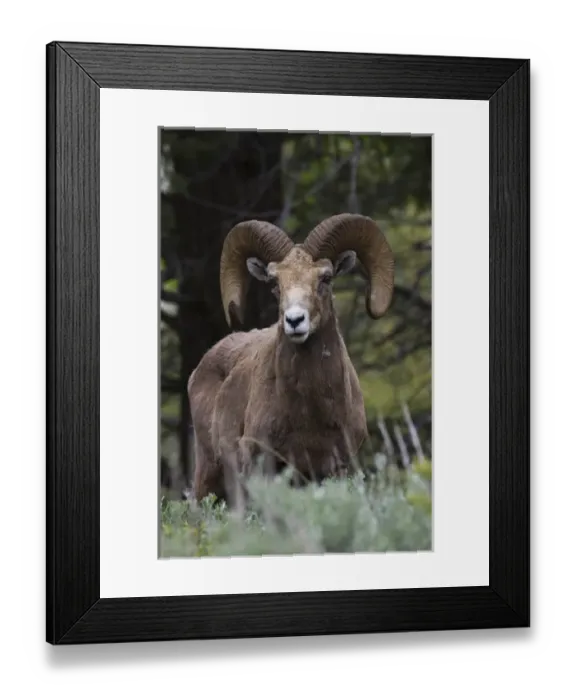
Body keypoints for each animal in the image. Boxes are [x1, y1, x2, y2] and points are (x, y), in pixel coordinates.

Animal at [187, 213, 394, 506]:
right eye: (275, 283)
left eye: (325, 278)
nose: (295, 321)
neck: (310, 414)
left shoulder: (335, 468)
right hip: (208, 479)